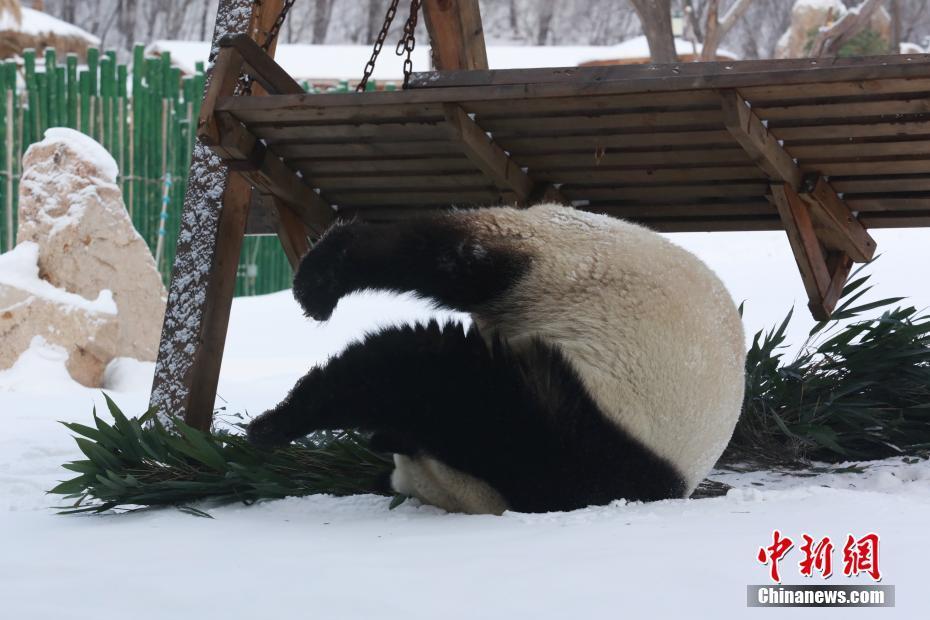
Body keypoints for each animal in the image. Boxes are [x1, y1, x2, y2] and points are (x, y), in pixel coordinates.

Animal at [243, 203, 744, 512]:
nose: (387, 479)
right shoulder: (556, 436)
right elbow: (418, 372)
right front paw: (274, 423)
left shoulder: (552, 443)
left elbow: (417, 370)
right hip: (562, 266)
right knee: (447, 257)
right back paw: (321, 281)